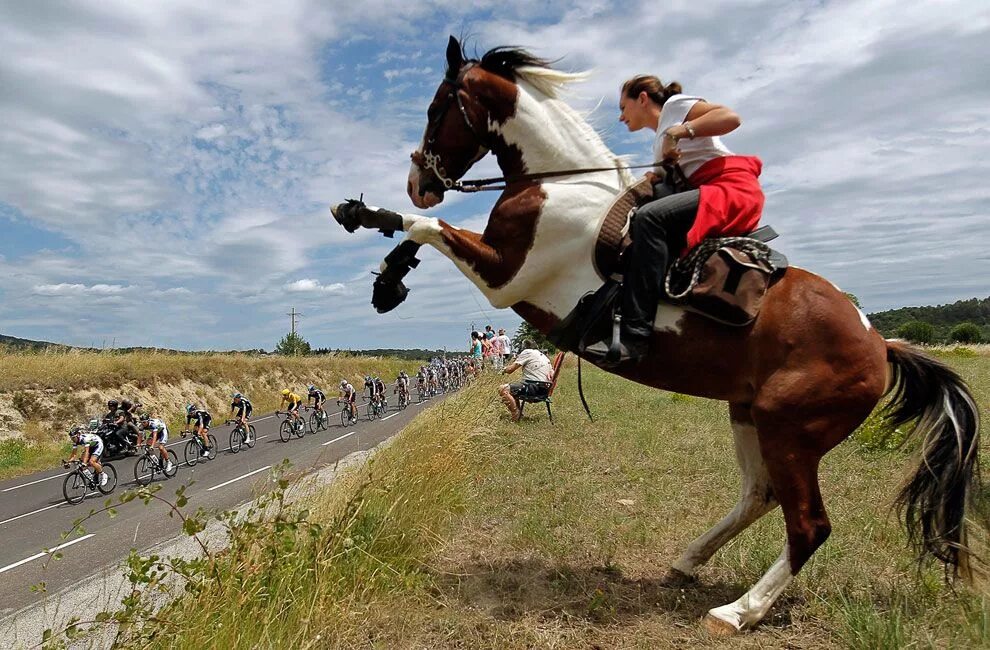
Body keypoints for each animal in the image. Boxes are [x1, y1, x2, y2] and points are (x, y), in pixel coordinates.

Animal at [330, 36, 980, 632]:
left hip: (791, 429)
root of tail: (880, 345)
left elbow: (428, 225)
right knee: (758, 496)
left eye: (438, 106)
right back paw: (688, 560)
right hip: (750, 414)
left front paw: (375, 233)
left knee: (808, 526)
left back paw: (739, 611)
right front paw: (384, 269)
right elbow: (423, 229)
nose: (417, 179)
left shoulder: (504, 276)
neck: (559, 184)